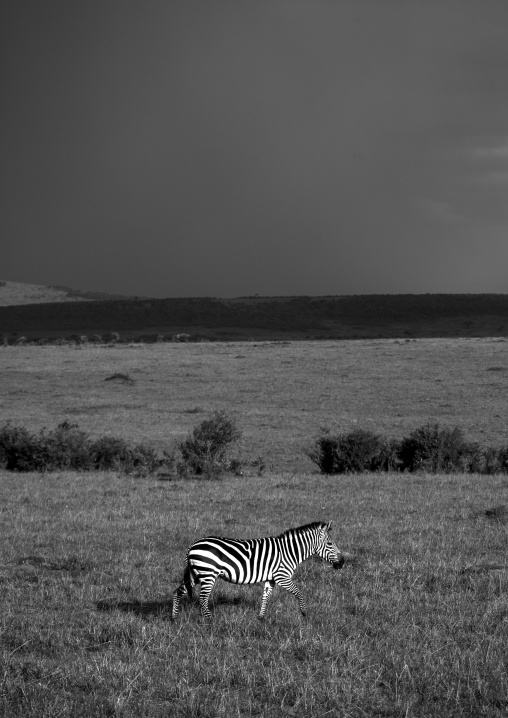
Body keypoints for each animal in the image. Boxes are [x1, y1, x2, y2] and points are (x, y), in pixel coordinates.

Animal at [171, 521, 344, 621]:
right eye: (330, 543)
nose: (342, 563)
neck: (289, 551)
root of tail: (193, 546)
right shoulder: (282, 576)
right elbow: (299, 592)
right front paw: (304, 613)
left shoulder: (271, 578)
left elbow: (265, 597)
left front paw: (261, 618)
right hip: (208, 574)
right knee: (202, 598)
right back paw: (210, 621)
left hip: (197, 574)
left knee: (178, 591)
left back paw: (174, 618)